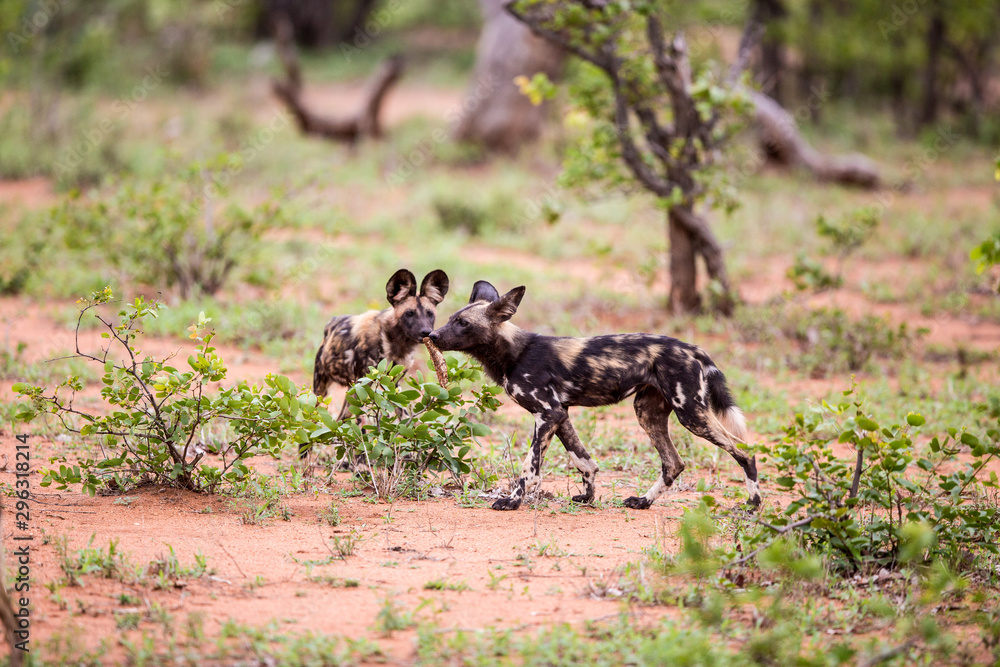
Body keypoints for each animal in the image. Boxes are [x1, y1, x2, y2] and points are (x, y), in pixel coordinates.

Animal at [303, 268, 449, 457]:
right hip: (323, 389)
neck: (396, 343)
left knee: (341, 420)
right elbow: (362, 427)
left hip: (350, 393)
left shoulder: (394, 385)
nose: (426, 331)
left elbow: (403, 421)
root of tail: (330, 325)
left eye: (430, 314)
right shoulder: (363, 388)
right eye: (409, 313)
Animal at [428, 280, 760, 511]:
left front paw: (512, 501)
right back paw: (643, 501)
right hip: (648, 412)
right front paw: (588, 497)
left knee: (745, 450)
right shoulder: (559, 415)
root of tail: (695, 350)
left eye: (463, 324)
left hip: (691, 414)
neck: (514, 353)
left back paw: (753, 505)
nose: (430, 335)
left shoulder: (546, 415)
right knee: (673, 464)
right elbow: (584, 461)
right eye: (450, 318)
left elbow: (529, 468)